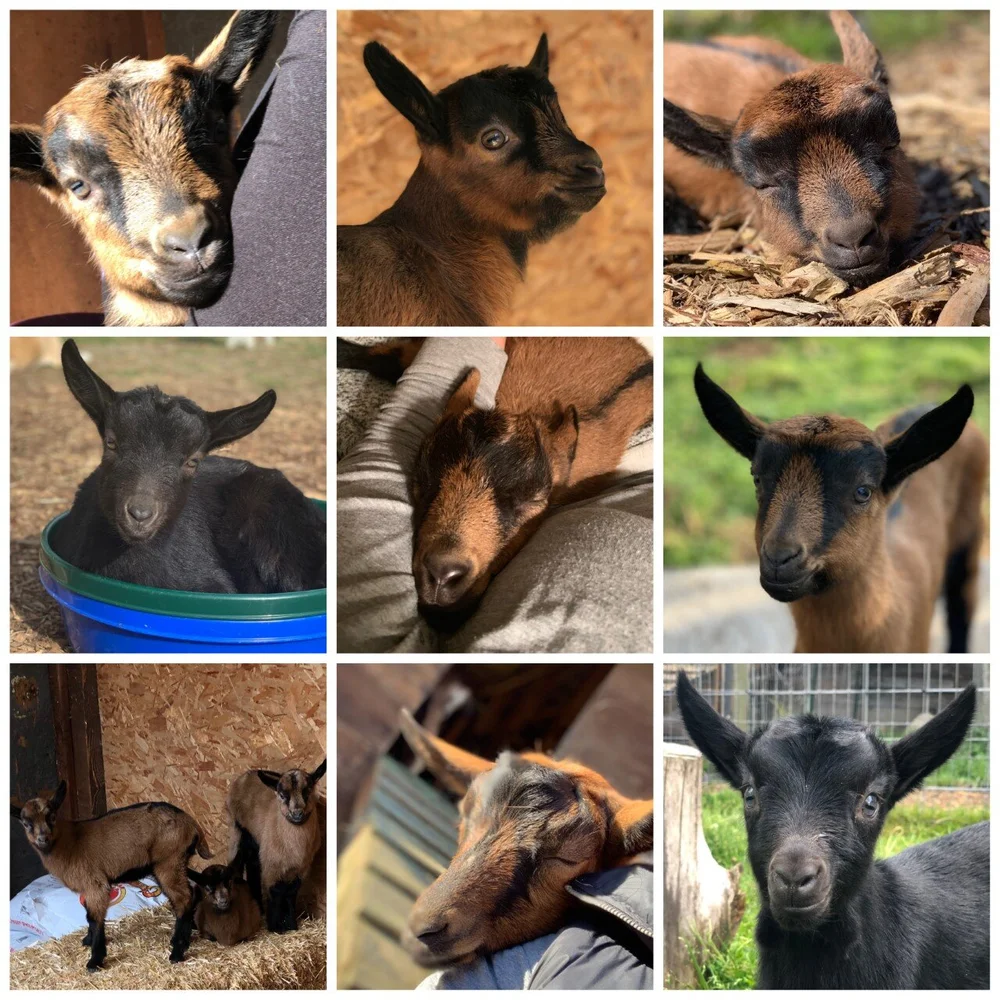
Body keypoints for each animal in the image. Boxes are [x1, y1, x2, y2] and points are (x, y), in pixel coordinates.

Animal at [10, 781, 212, 971]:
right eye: (26, 824)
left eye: (51, 817)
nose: (42, 839)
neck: (70, 842)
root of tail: (193, 825)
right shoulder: (87, 887)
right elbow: (87, 914)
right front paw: (88, 940)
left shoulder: (96, 883)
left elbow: (94, 917)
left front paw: (95, 960)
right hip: (173, 863)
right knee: (187, 894)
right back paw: (183, 940)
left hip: (169, 861)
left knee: (183, 898)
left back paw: (177, 951)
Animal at [227, 760, 326, 933]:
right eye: (282, 795)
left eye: (307, 791)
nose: (297, 814)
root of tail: (246, 775)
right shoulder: (272, 865)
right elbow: (276, 893)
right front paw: (275, 927)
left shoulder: (301, 867)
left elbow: (290, 893)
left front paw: (291, 925)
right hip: (241, 832)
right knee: (241, 864)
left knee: (252, 865)